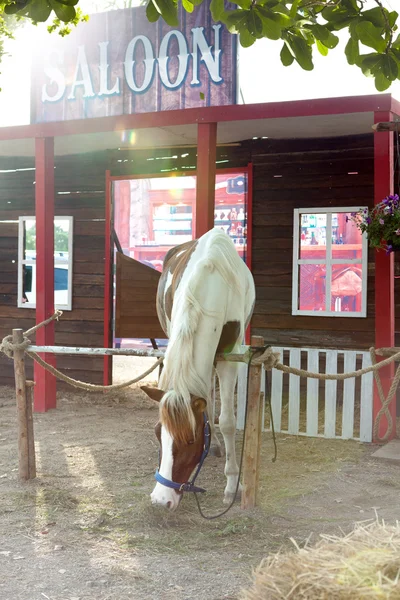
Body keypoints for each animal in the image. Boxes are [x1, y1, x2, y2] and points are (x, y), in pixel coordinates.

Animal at [141, 227, 256, 508]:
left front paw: (232, 485)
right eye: (158, 433)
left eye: (190, 440)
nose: (161, 499)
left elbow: (227, 421)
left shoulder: (229, 358)